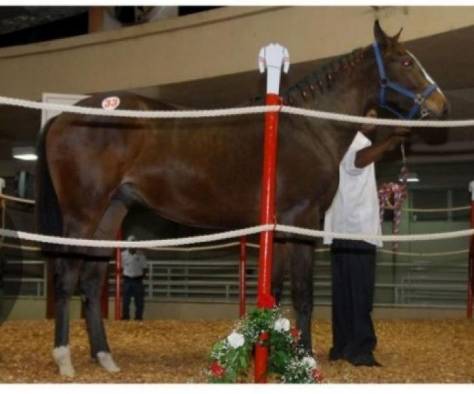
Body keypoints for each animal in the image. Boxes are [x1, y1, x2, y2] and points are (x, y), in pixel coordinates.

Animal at [37, 20, 448, 376]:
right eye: (406, 61)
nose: (441, 105)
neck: (307, 127)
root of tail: (64, 116)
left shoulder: (278, 228)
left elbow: (276, 291)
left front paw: (271, 352)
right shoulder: (301, 221)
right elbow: (303, 293)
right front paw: (304, 357)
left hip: (111, 212)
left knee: (92, 281)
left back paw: (105, 357)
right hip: (83, 213)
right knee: (67, 276)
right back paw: (64, 359)